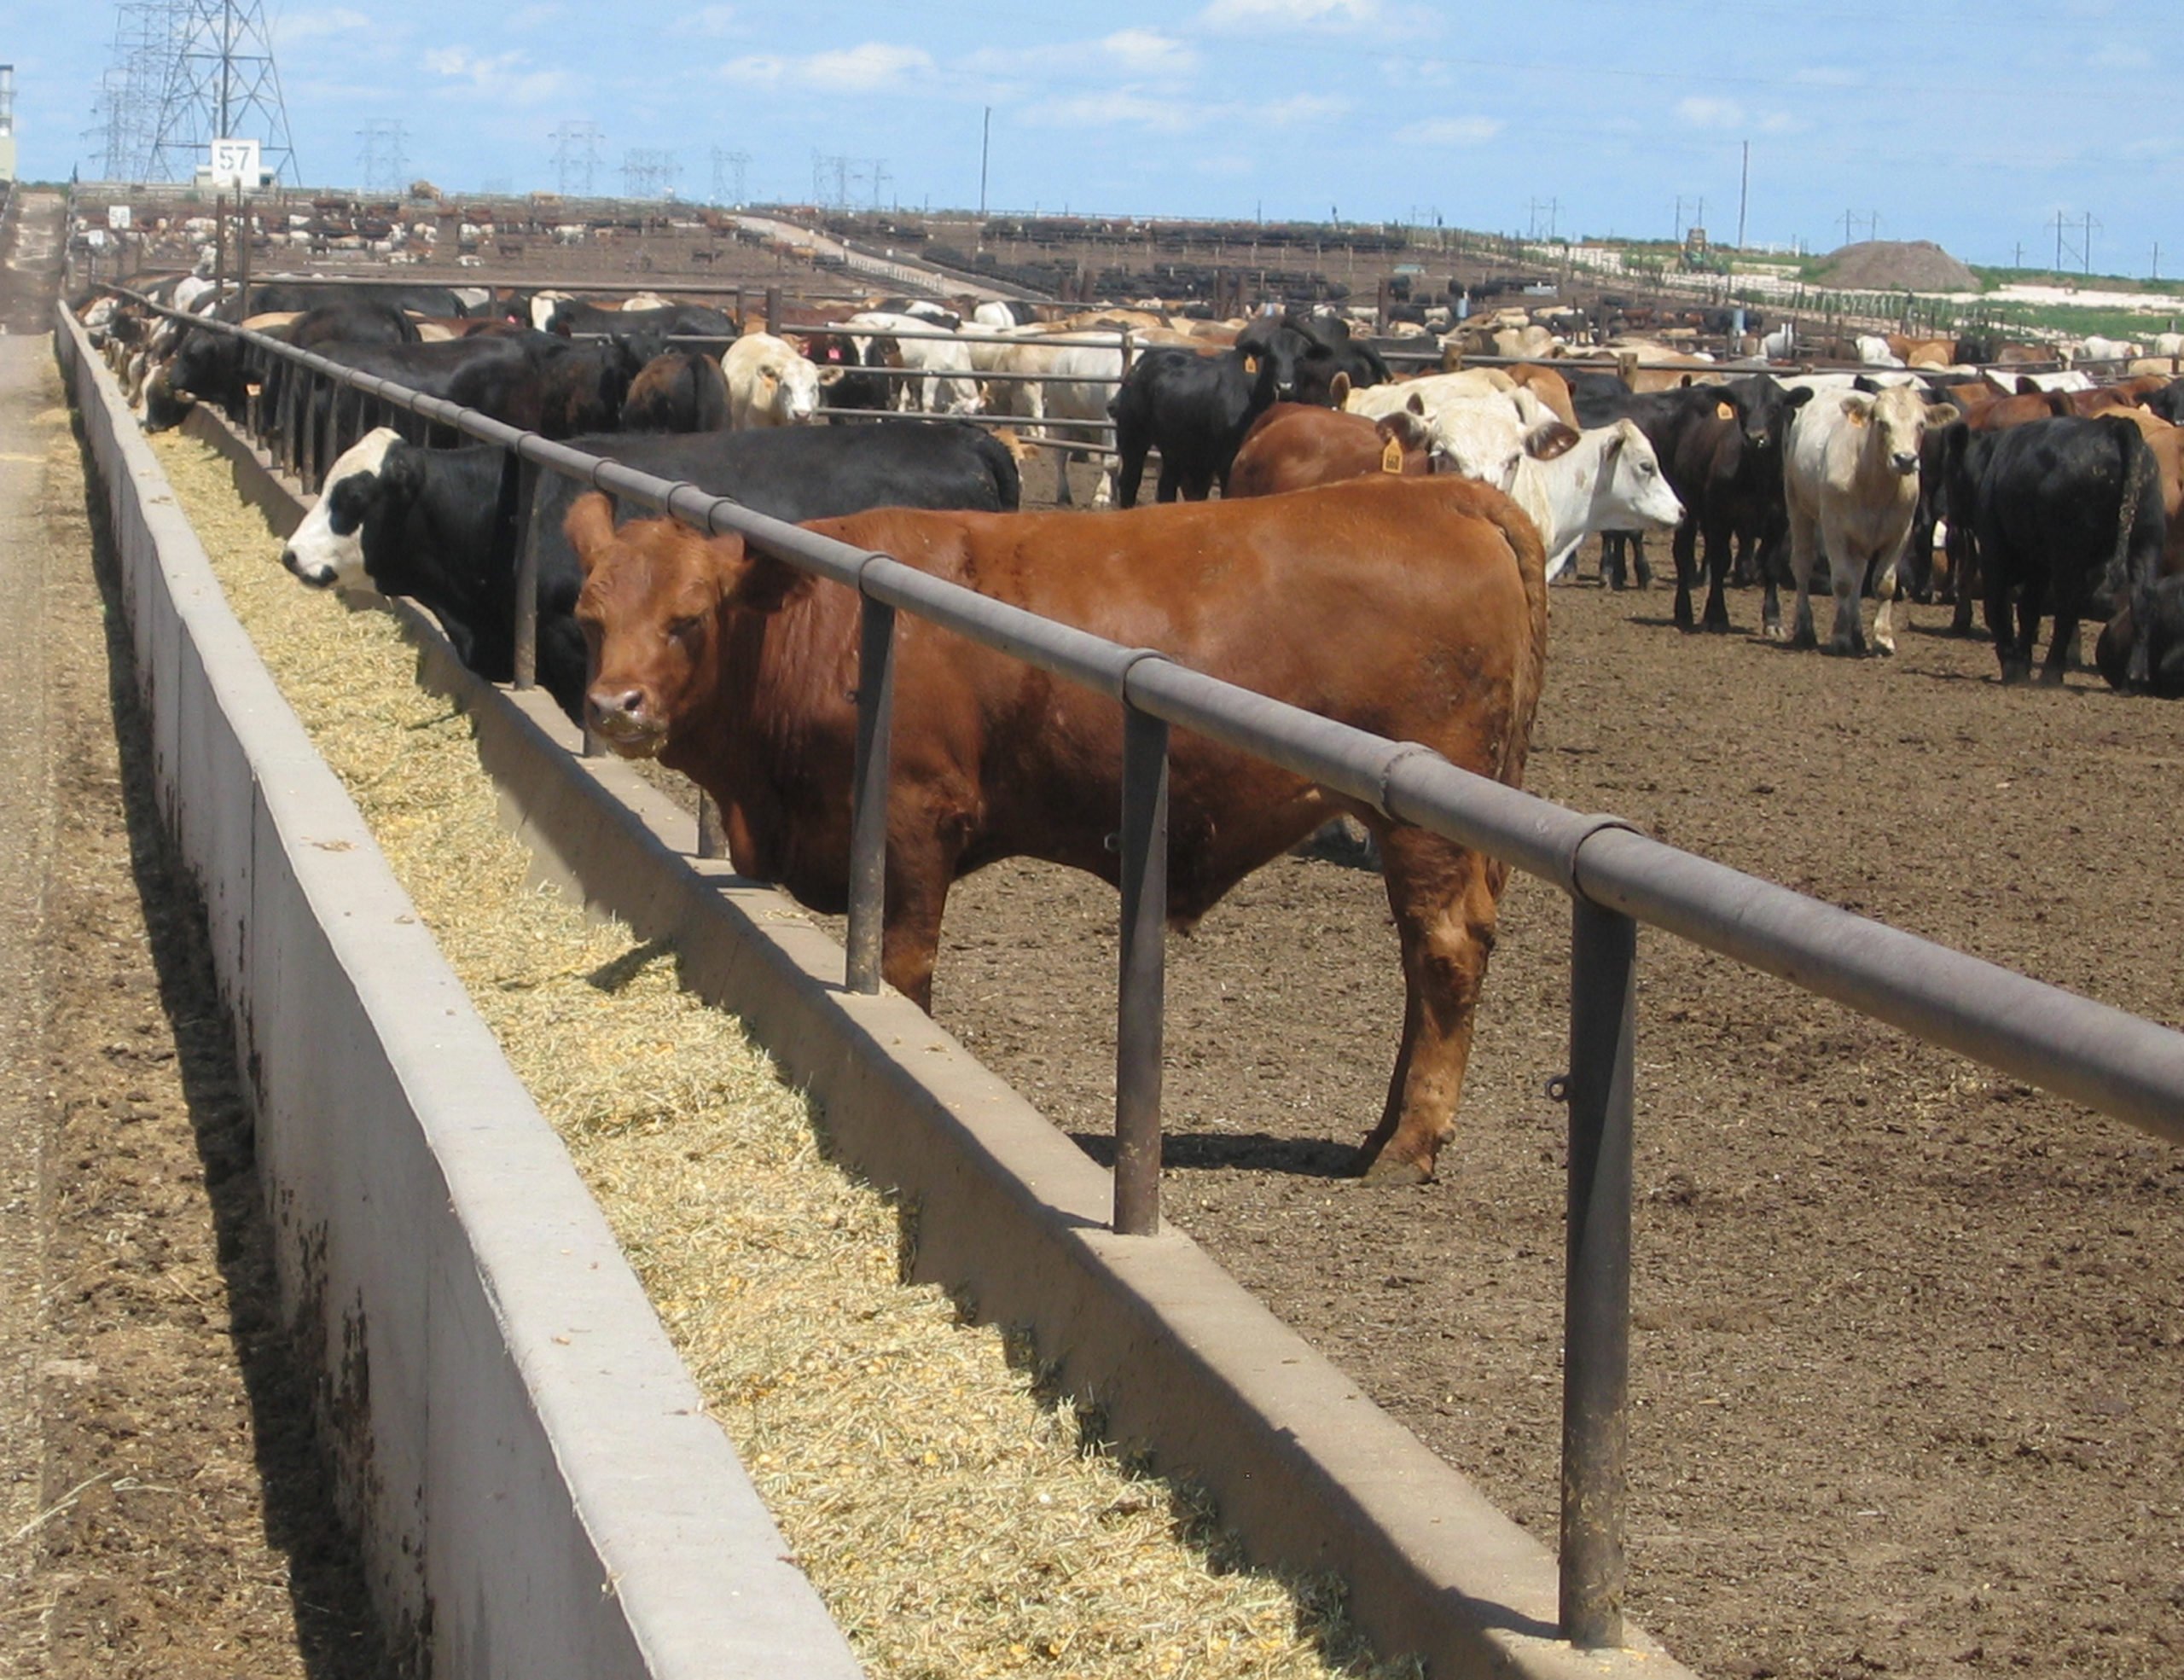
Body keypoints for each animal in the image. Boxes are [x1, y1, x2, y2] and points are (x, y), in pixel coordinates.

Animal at [567, 472, 1554, 1179]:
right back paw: (1383, 1129)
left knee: (1444, 952)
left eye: (690, 618)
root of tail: (1441, 492)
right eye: (590, 615)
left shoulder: (914, 818)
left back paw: (1408, 1143)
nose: (614, 706)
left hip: (1425, 824)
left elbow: (902, 968)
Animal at [1118, 336, 1284, 502]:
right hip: (1133, 440)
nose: (1284, 387)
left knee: (1167, 486)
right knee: (1130, 481)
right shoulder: (1225, 460)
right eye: (1271, 358)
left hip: (1174, 450)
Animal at [1781, 384, 1956, 655]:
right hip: (1798, 508)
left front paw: (1882, 638)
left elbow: (1883, 584)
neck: (1872, 484)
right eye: (1882, 422)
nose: (1905, 459)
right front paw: (1840, 637)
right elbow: (1842, 582)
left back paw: (1857, 635)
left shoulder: (1900, 532)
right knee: (1802, 567)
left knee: (1858, 575)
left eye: (1921, 424)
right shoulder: (1834, 529)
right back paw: (1805, 630)